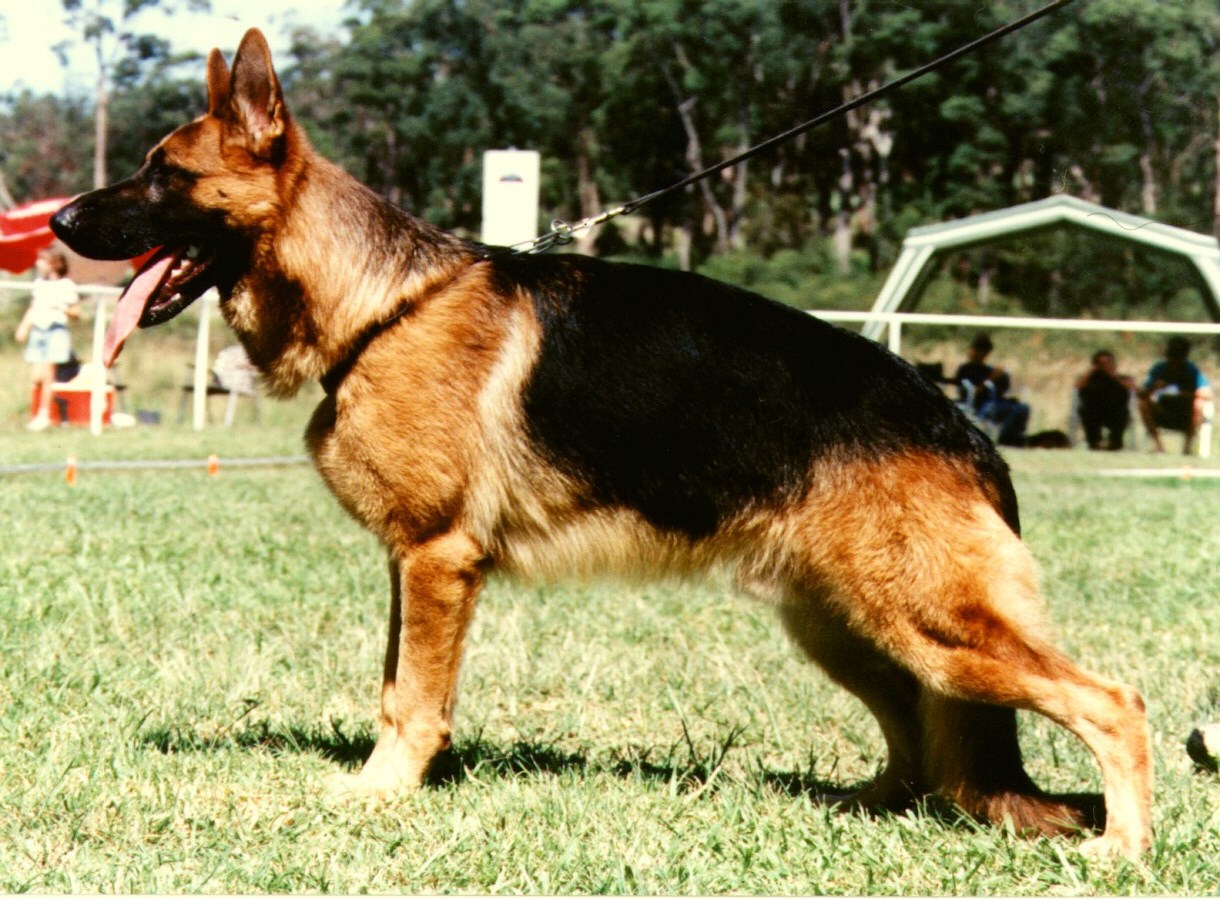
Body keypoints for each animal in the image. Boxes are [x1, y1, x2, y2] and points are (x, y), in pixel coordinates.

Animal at [50, 26, 1151, 853]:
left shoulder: (436, 559)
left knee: (1113, 700)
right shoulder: (409, 566)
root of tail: (957, 419)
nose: (56, 221)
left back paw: (1121, 848)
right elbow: (395, 684)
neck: (382, 305)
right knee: (921, 738)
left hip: (928, 624)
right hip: (851, 626)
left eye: (164, 175)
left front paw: (381, 793)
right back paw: (867, 806)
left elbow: (413, 697)